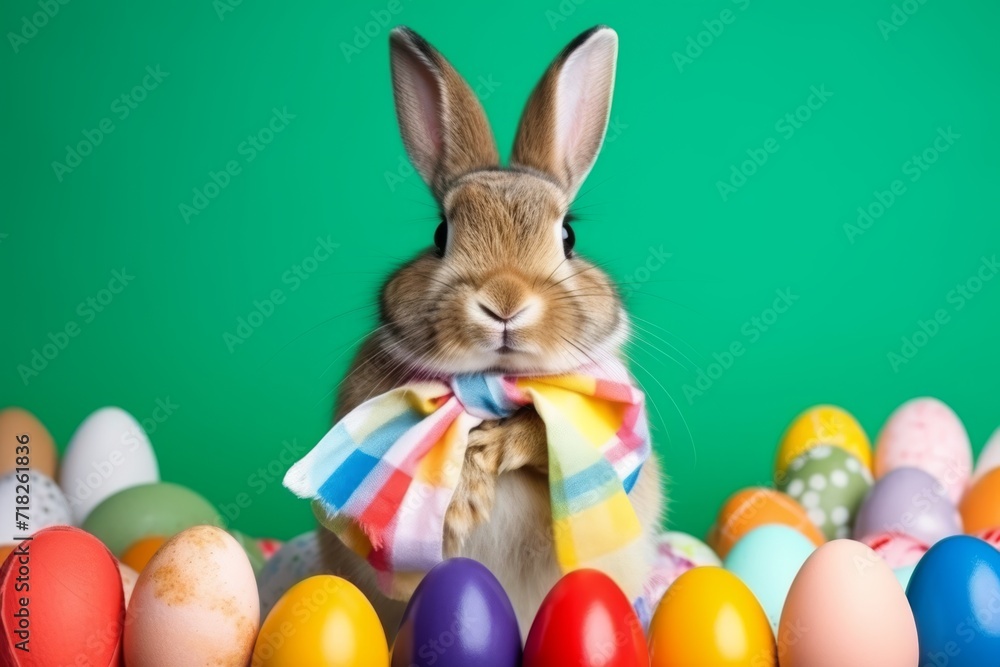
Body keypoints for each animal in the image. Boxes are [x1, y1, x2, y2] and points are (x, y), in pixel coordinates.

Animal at [318, 24, 664, 640]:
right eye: (440, 234)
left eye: (569, 236)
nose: (505, 301)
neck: (494, 382)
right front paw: (462, 497)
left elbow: (540, 434)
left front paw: (493, 446)